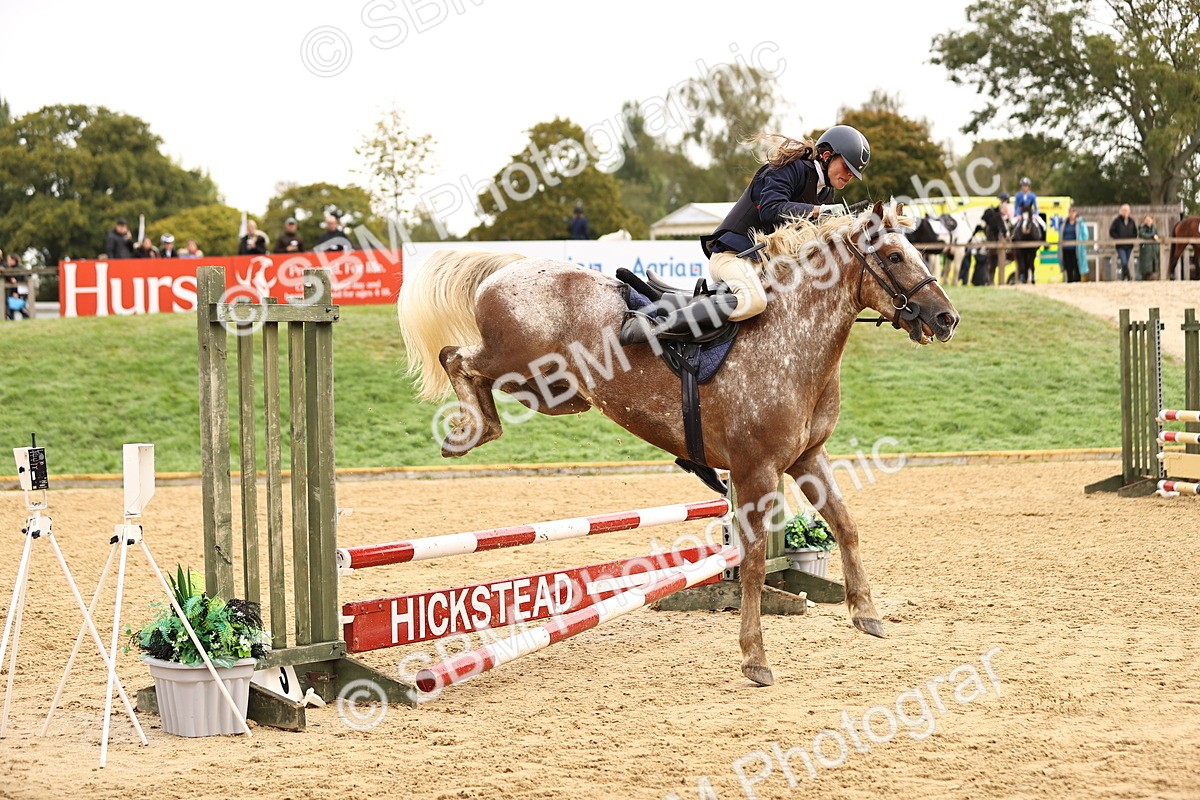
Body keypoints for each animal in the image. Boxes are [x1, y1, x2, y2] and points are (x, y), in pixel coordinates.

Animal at [398, 202, 959, 687]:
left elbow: (845, 526)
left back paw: (475, 429)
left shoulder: (805, 458)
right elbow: (753, 564)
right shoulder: (757, 470)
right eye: (894, 256)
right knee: (457, 358)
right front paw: (755, 658)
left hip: (557, 394)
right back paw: (467, 433)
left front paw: (866, 612)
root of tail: (512, 267)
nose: (945, 318)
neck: (792, 339)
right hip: (522, 367)